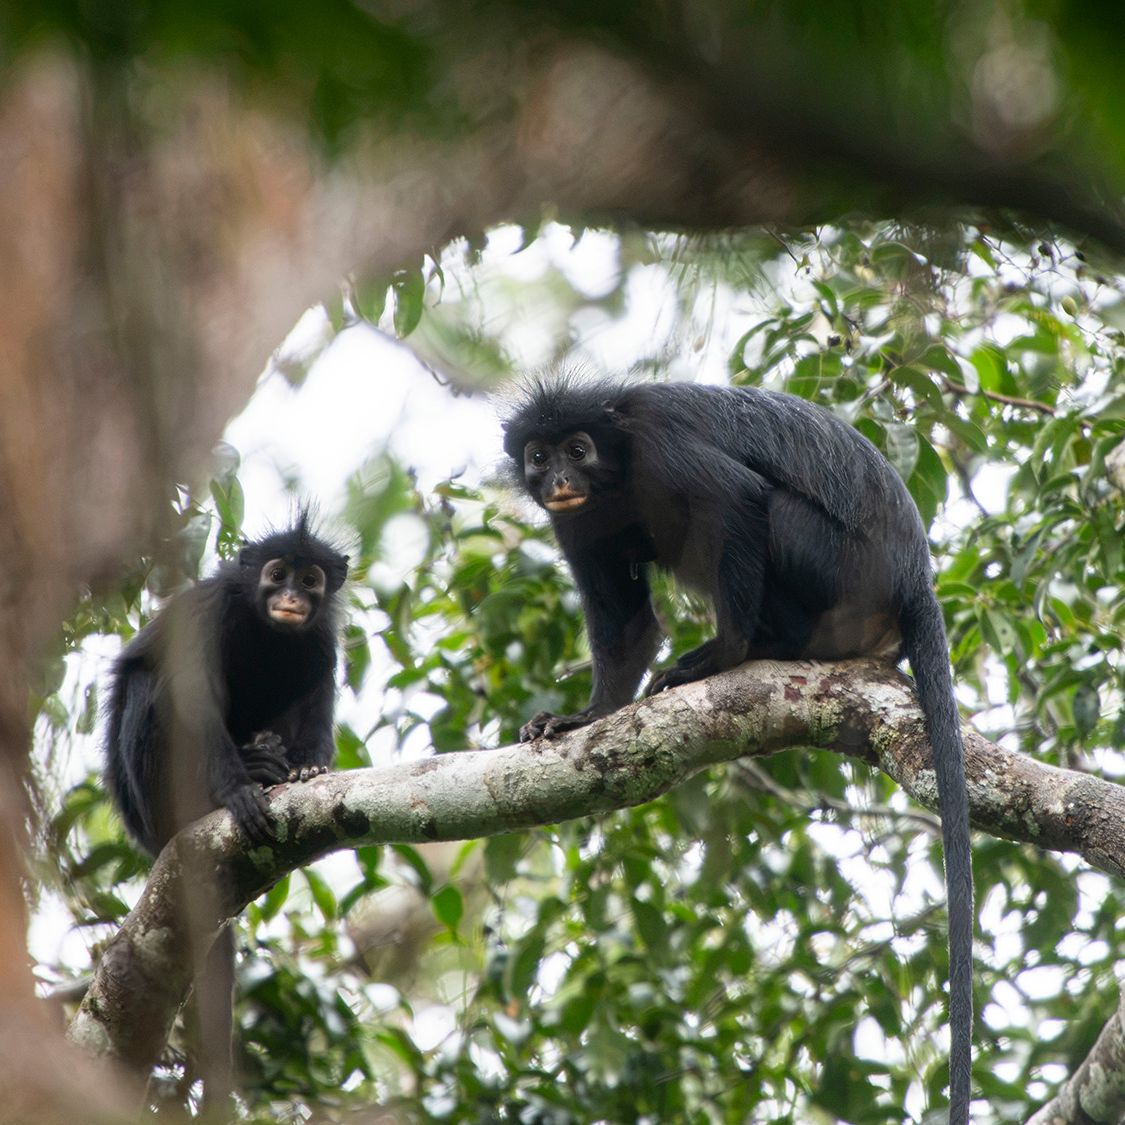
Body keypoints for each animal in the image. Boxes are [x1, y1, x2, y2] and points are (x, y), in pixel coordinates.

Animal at [103, 513, 348, 1106]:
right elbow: (193, 694)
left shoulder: (321, 635)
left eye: (310, 580)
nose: (290, 597)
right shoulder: (207, 612)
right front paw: (236, 792)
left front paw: (307, 769)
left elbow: (319, 684)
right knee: (151, 682)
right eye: (276, 574)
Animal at [502, 376, 972, 1124]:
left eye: (577, 449)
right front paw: (583, 717)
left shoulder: (659, 444)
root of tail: (912, 576)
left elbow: (737, 498)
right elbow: (627, 624)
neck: (615, 468)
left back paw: (760, 645)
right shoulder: (574, 521)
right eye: (539, 456)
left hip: (836, 565)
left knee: (760, 507)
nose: (560, 480)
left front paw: (723, 653)